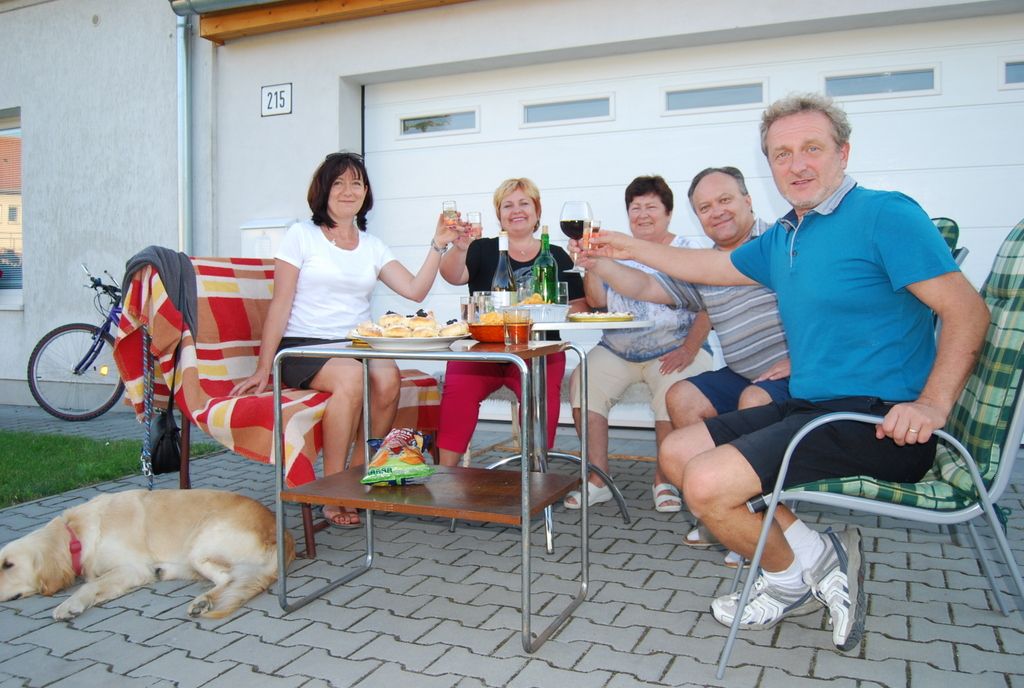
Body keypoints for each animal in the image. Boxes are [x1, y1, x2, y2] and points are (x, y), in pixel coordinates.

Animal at [0, 489, 295, 620]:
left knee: (231, 578)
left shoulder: (132, 568)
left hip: (200, 544)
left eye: (8, 564)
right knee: (229, 581)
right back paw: (202, 601)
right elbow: (97, 585)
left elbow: (89, 586)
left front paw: (67, 605)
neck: (77, 534)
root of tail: (282, 534)